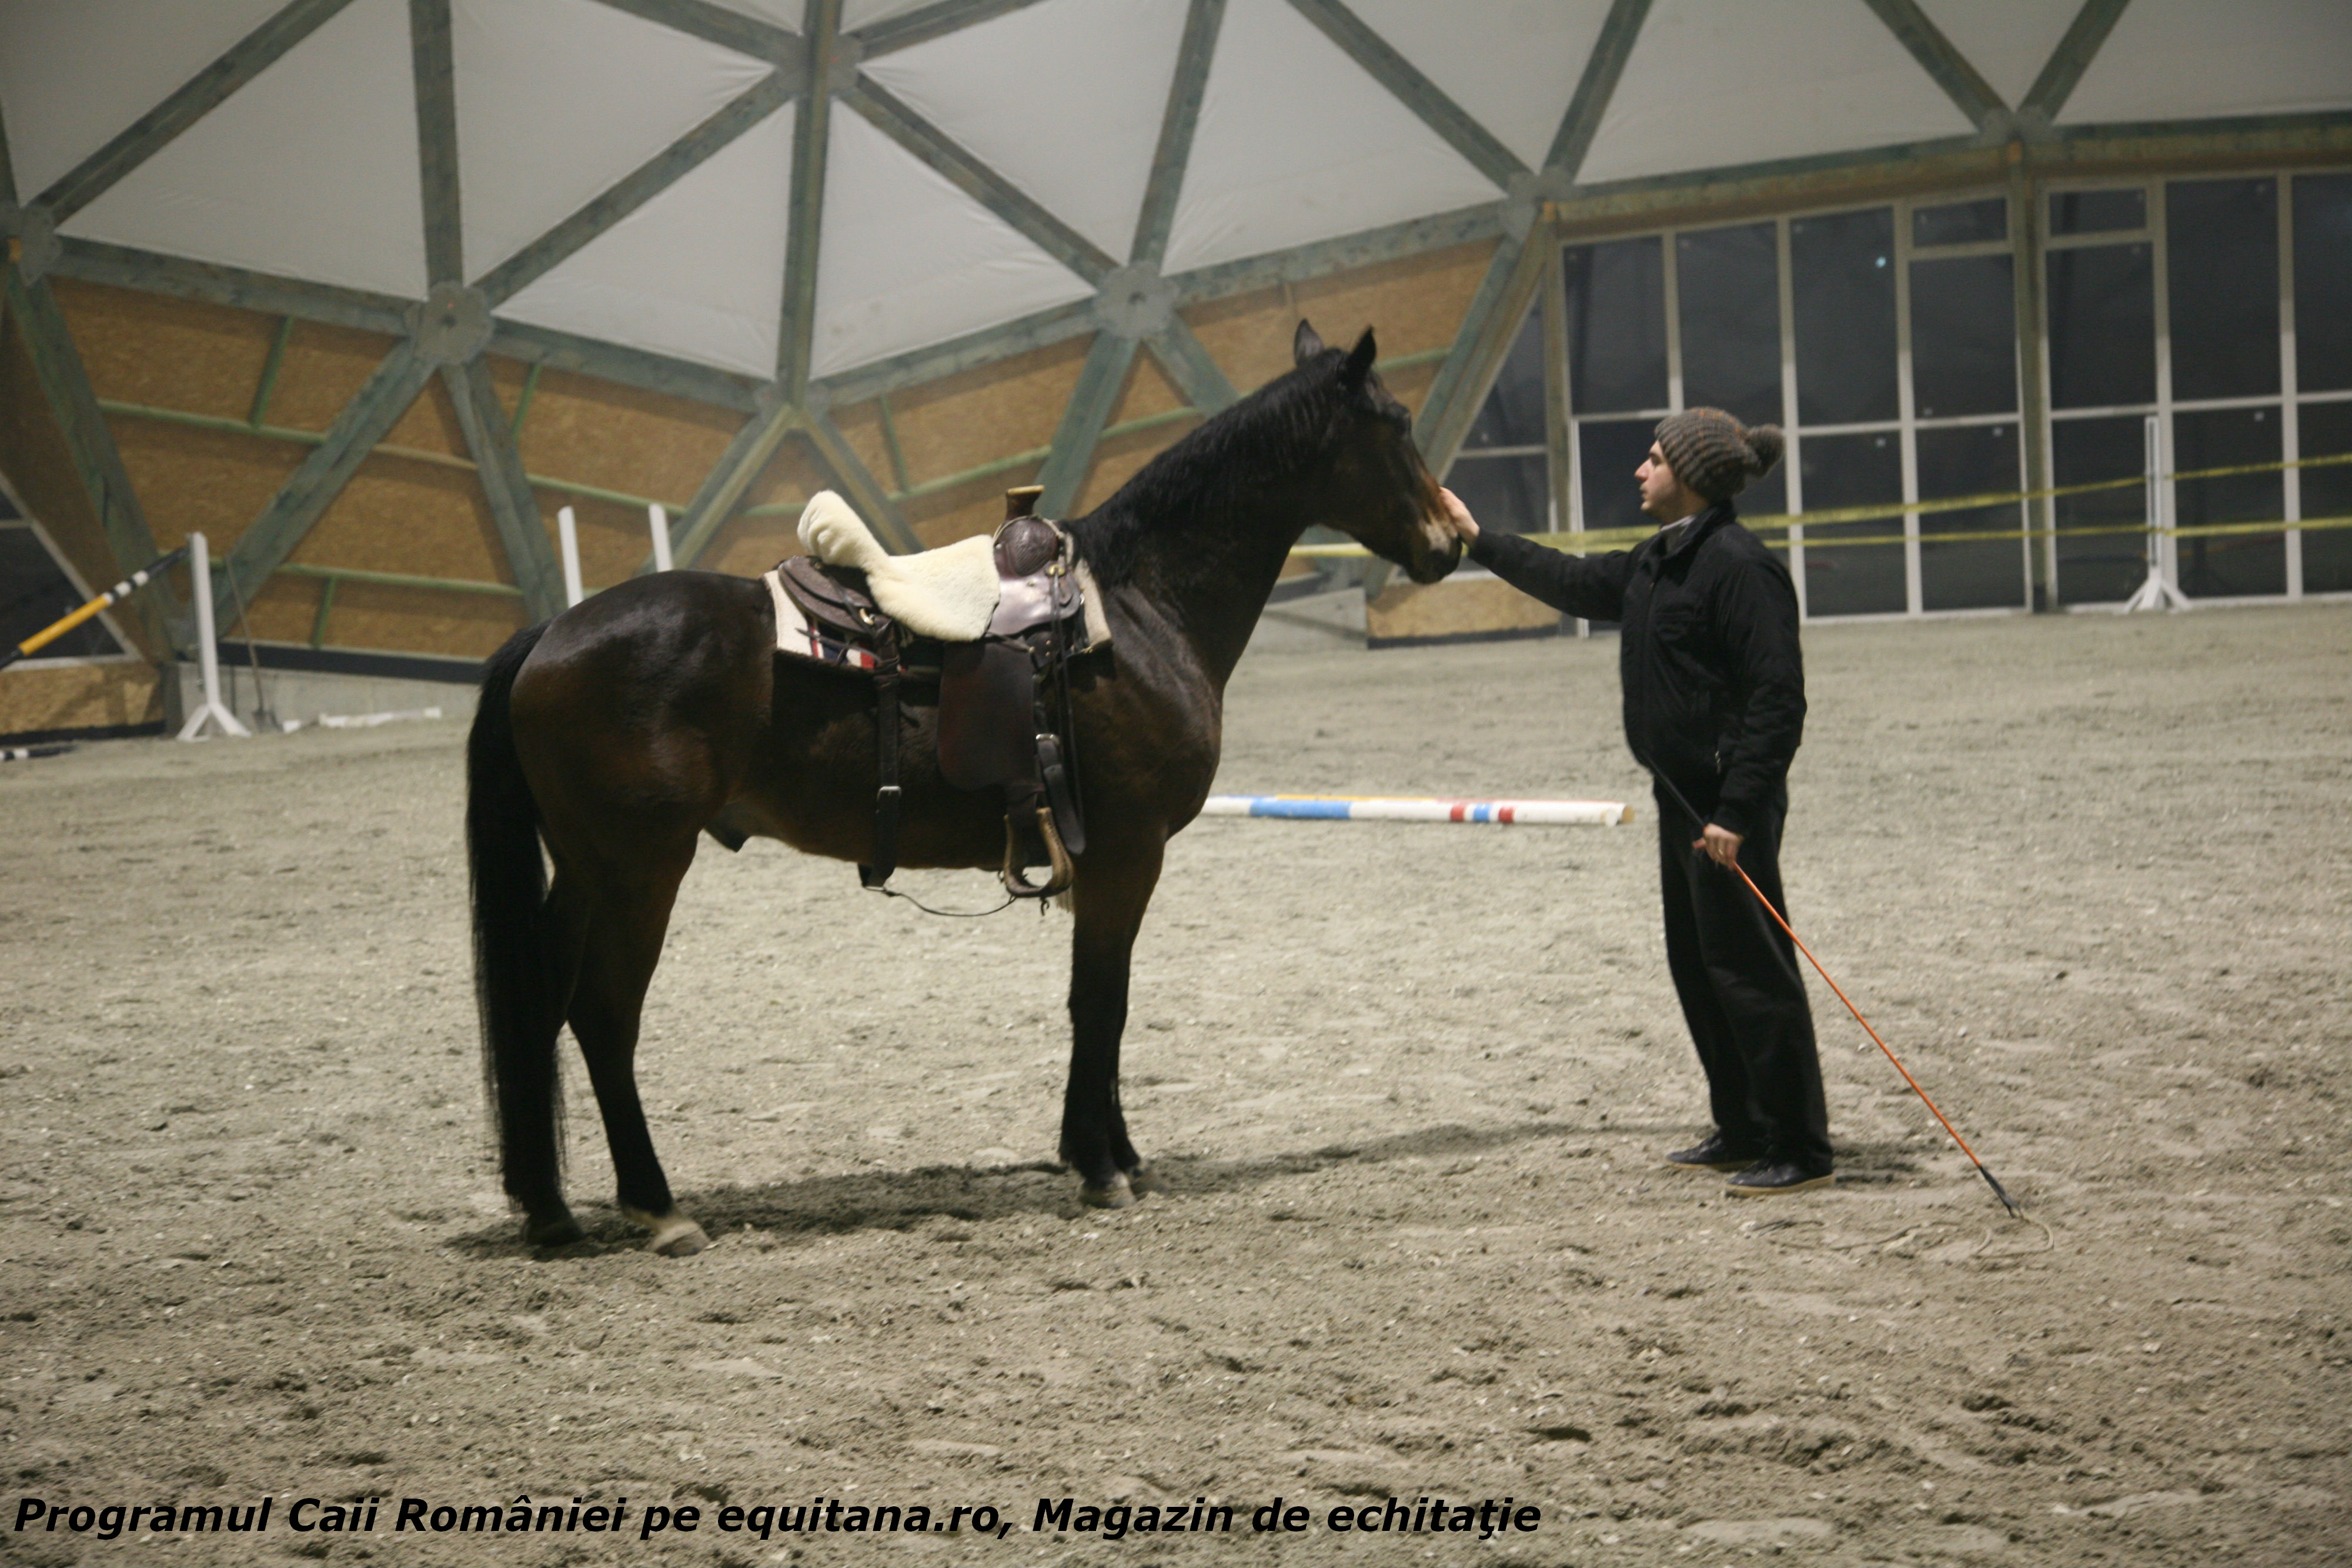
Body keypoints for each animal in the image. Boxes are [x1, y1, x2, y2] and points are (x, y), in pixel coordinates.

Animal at [466, 324, 1458, 1260]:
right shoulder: (1129, 851)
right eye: (1395, 423)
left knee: (540, 1003)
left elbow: (1105, 998)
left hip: (585, 870)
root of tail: (552, 630)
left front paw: (1115, 1151)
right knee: (603, 1012)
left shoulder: (1104, 858)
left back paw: (551, 1208)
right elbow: (1101, 999)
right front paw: (1101, 1166)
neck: (1144, 608)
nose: (1451, 541)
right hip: (640, 869)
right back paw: (659, 1207)